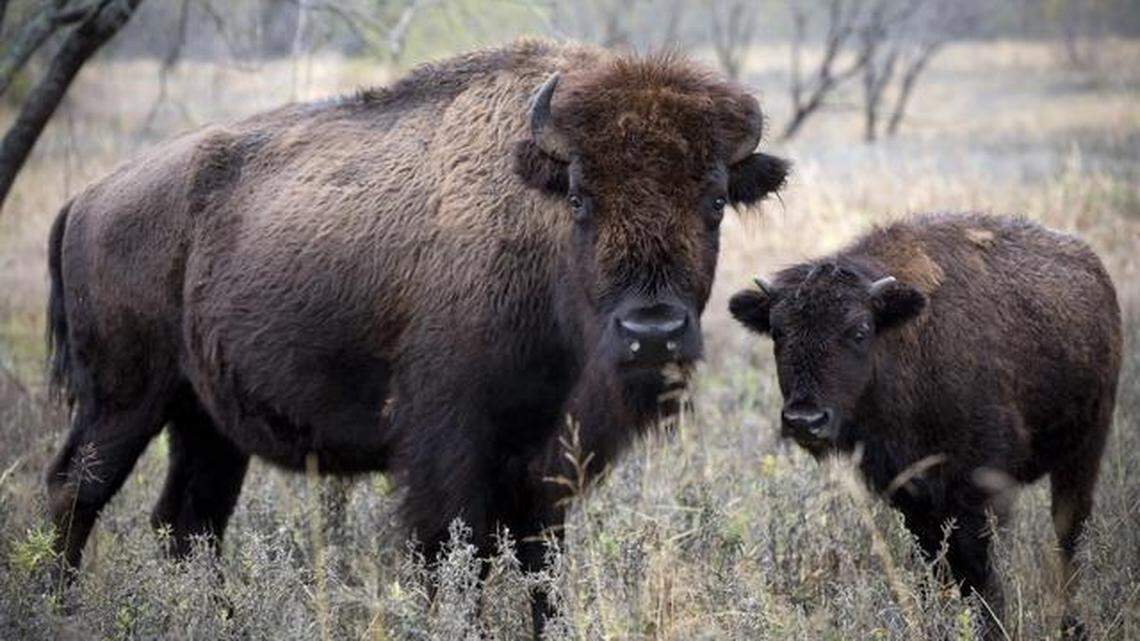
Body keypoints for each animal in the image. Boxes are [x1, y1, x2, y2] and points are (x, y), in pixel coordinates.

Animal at [45, 39, 787, 632]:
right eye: (581, 198)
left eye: (714, 200)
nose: (651, 330)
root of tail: (88, 198)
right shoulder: (449, 450)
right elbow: (454, 562)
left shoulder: (545, 467)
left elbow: (541, 570)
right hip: (121, 400)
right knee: (75, 493)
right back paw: (60, 608)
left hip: (205, 420)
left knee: (189, 521)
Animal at [730, 212, 1119, 639]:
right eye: (778, 332)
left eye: (859, 331)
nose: (805, 419)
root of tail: (1093, 268)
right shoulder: (911, 495)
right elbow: (937, 565)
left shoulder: (978, 489)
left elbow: (978, 568)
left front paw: (992, 626)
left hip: (1085, 450)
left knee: (1069, 531)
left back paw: (1071, 622)